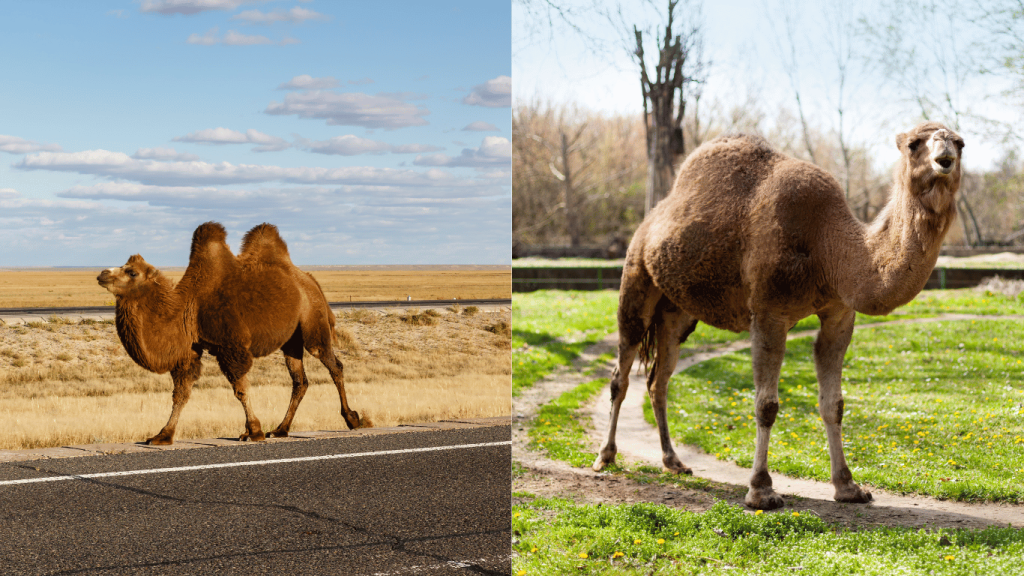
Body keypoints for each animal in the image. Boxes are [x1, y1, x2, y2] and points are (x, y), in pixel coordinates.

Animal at [93, 220, 364, 444]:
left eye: (131, 272)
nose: (102, 274)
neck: (188, 307)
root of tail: (310, 280)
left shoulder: (231, 346)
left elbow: (240, 389)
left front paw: (253, 431)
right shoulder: (192, 348)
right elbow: (181, 392)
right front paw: (162, 435)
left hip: (312, 320)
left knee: (332, 363)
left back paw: (353, 419)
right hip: (291, 340)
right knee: (300, 381)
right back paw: (280, 429)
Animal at [598, 120, 962, 506]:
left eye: (960, 142)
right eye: (914, 144)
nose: (945, 155)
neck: (829, 248)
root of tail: (649, 220)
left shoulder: (838, 314)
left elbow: (834, 403)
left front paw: (848, 486)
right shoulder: (768, 312)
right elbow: (766, 405)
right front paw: (761, 490)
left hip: (677, 311)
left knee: (659, 380)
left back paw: (674, 461)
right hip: (636, 278)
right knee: (622, 372)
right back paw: (606, 456)